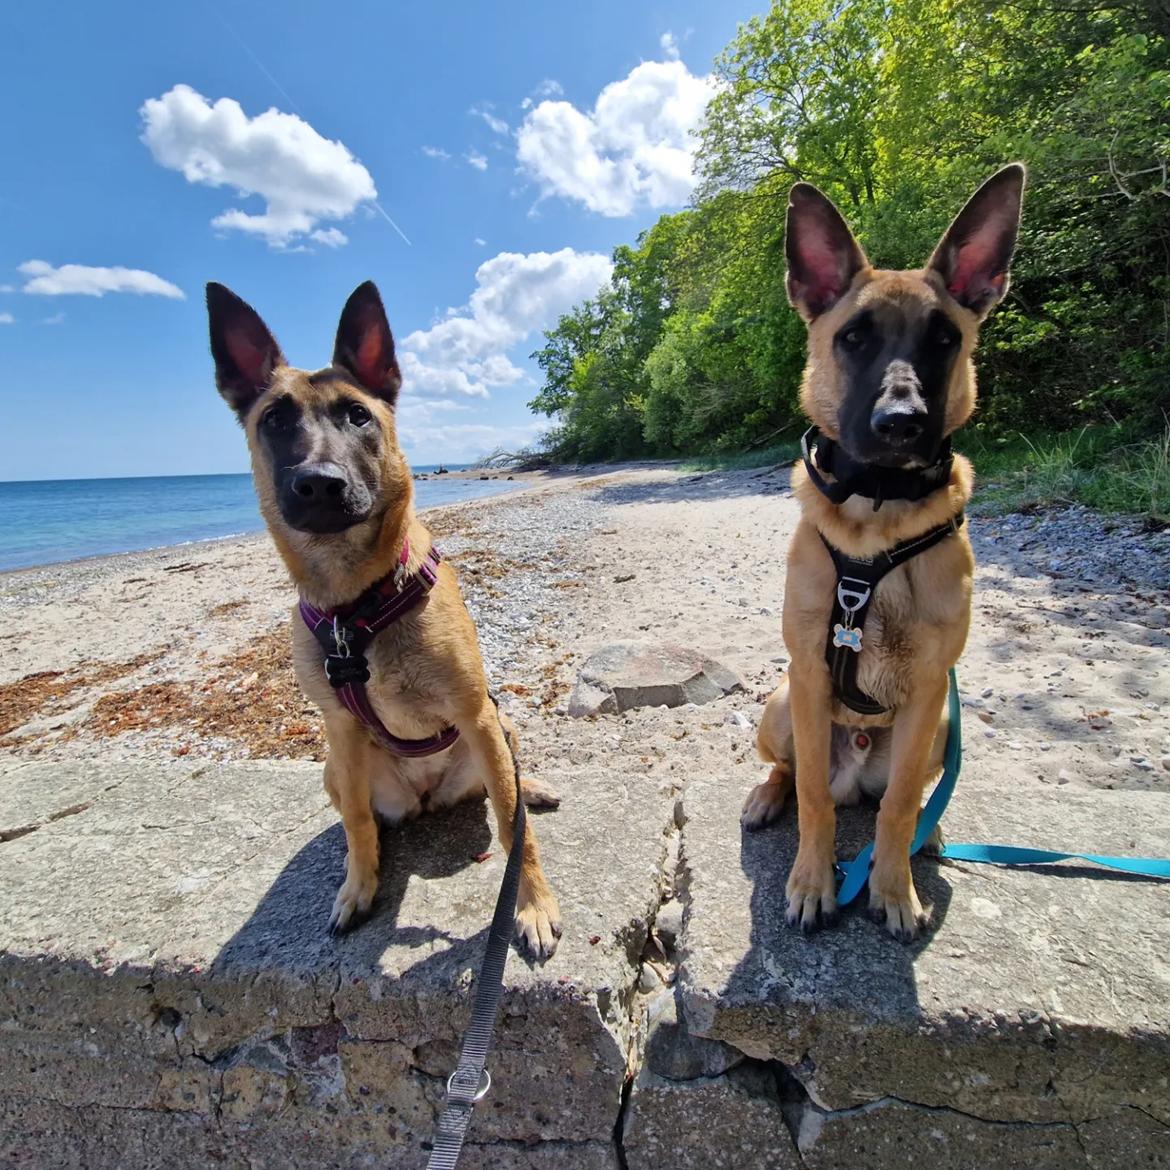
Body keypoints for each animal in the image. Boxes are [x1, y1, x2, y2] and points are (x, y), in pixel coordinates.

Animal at [204, 283, 561, 959]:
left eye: (357, 416)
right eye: (275, 419)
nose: (318, 484)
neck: (357, 604)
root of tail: (427, 797)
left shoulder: (477, 714)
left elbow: (513, 827)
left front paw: (529, 905)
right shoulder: (340, 733)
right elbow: (357, 824)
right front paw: (358, 885)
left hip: (498, 727)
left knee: (507, 789)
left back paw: (532, 787)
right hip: (335, 769)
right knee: (364, 814)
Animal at [739, 164, 1024, 940]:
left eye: (944, 339)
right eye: (854, 338)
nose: (902, 423)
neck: (879, 515)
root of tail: (860, 762)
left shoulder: (930, 689)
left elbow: (896, 808)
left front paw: (892, 888)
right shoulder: (809, 675)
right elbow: (812, 796)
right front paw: (813, 883)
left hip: (940, 728)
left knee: (902, 796)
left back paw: (927, 829)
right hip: (779, 704)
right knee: (797, 776)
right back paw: (767, 795)